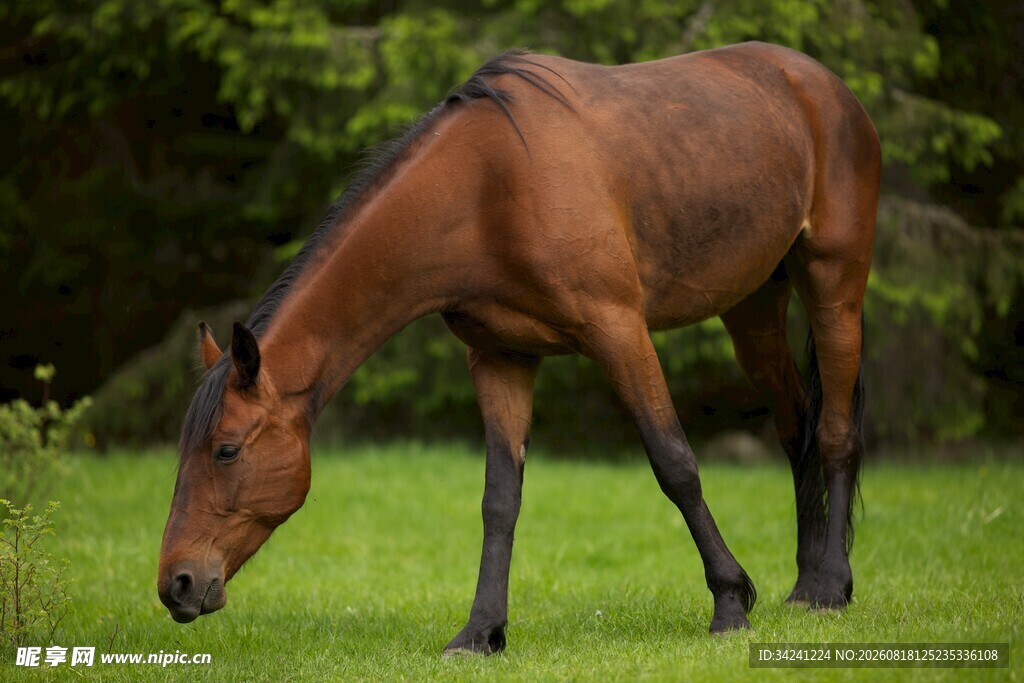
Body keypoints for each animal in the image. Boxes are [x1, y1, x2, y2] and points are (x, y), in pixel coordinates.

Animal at [158, 42, 879, 655]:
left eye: (226, 449)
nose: (176, 585)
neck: (484, 187)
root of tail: (823, 85)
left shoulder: (619, 331)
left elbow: (675, 463)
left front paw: (730, 603)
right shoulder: (501, 359)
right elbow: (499, 500)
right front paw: (481, 631)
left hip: (833, 289)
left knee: (836, 431)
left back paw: (831, 587)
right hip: (751, 309)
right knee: (796, 426)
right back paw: (803, 584)